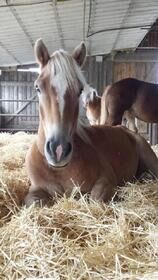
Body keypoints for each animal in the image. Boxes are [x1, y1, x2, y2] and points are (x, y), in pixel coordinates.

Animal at [24, 38, 158, 206]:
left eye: (80, 90)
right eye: (38, 88)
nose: (58, 150)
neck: (59, 170)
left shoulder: (105, 182)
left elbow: (96, 198)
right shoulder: (35, 190)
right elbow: (34, 202)